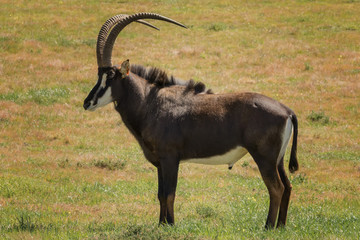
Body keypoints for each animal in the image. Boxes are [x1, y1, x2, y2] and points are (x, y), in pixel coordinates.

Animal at [83, 11, 298, 229]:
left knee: (276, 188)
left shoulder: (170, 158)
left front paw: (170, 224)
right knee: (287, 186)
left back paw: (268, 226)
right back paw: (281, 226)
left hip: (264, 158)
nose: (87, 103)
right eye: (99, 74)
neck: (151, 101)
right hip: (278, 160)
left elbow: (169, 193)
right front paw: (161, 225)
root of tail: (287, 111)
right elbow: (160, 194)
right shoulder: (160, 162)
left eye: (111, 76)